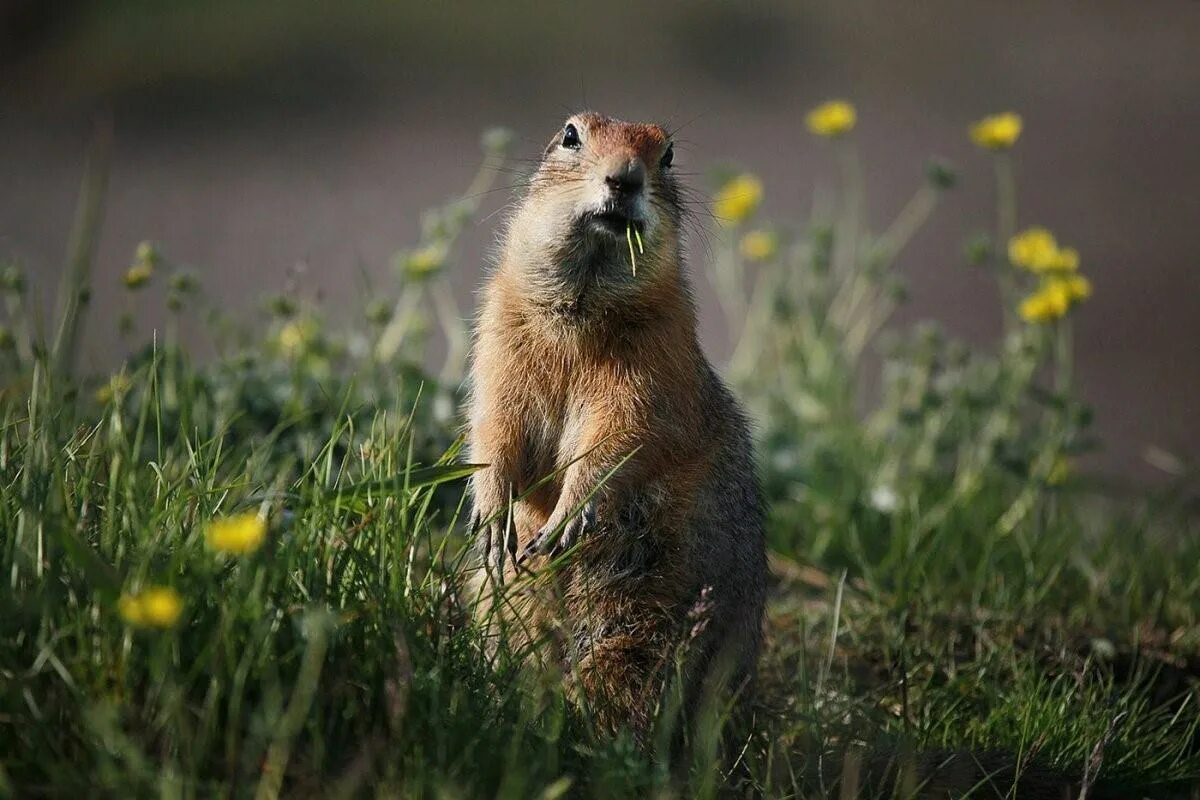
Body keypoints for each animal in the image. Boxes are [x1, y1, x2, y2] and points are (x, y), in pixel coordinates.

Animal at [463, 112, 763, 738]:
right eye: (570, 135)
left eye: (667, 154)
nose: (624, 178)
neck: (580, 309)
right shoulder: (499, 335)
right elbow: (494, 421)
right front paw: (494, 519)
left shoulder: (652, 363)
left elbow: (621, 433)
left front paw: (565, 519)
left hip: (640, 632)